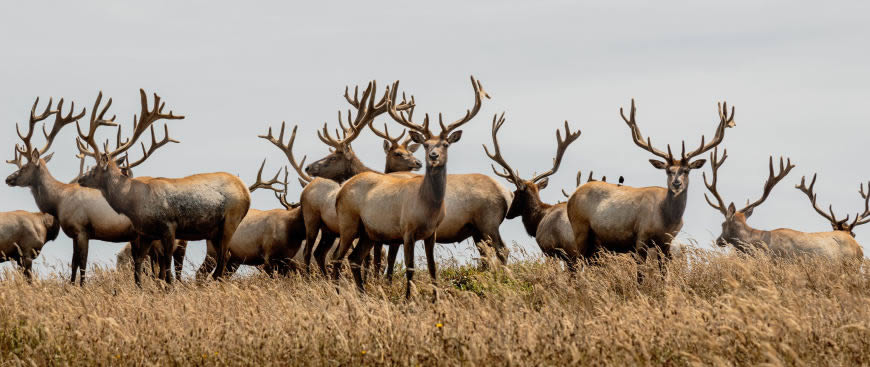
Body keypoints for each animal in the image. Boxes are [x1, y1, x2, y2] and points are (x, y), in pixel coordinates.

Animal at [76, 89, 250, 284]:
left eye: (94, 169)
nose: (80, 179)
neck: (133, 203)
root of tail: (246, 191)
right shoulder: (146, 233)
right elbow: (140, 264)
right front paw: (142, 287)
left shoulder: (169, 226)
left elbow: (166, 265)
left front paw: (168, 286)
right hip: (213, 231)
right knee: (223, 257)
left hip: (231, 219)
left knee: (223, 257)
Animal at [336, 76, 490, 298]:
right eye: (426, 144)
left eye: (445, 144)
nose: (433, 156)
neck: (427, 208)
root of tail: (340, 191)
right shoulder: (407, 229)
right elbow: (410, 268)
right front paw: (409, 299)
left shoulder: (432, 232)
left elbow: (432, 267)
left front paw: (435, 300)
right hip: (348, 222)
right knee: (338, 259)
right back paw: (339, 294)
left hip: (368, 232)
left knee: (354, 259)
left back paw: (362, 294)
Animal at [564, 100, 736, 268]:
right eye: (668, 170)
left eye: (687, 170)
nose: (676, 183)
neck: (666, 220)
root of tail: (572, 195)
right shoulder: (641, 236)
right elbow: (640, 271)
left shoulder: (667, 242)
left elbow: (664, 271)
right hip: (580, 228)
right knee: (577, 263)